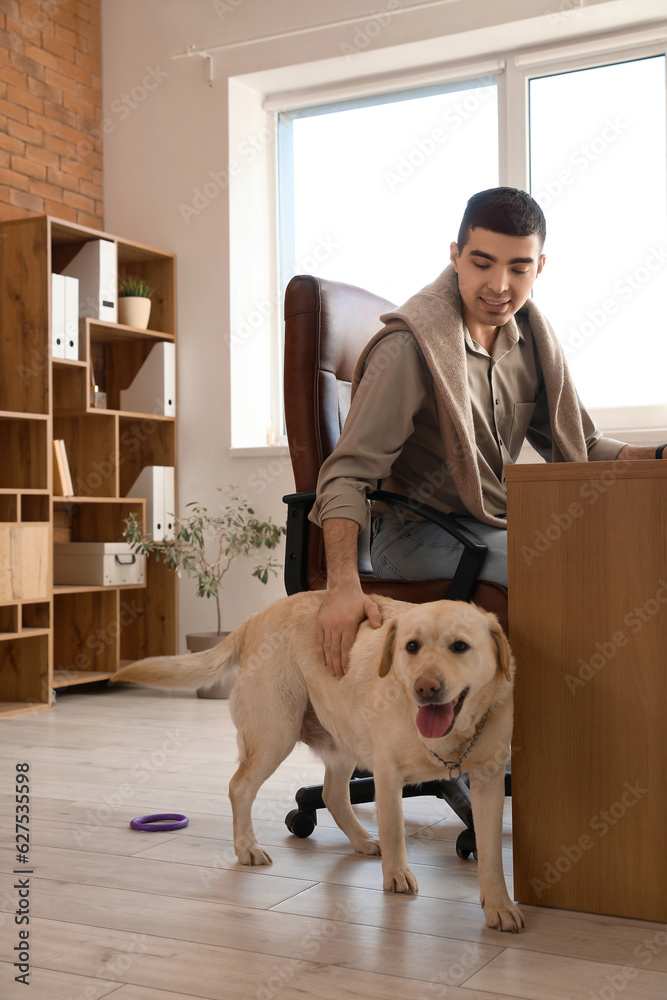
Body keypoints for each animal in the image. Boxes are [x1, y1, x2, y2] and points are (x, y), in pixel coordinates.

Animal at [112, 588, 524, 932]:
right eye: (411, 646)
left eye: (460, 646)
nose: (425, 687)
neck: (451, 737)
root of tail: (257, 617)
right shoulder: (387, 773)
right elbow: (395, 829)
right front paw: (397, 876)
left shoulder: (487, 782)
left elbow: (490, 851)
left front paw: (500, 907)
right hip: (276, 734)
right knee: (239, 786)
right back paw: (247, 847)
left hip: (342, 740)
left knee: (332, 795)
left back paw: (362, 840)